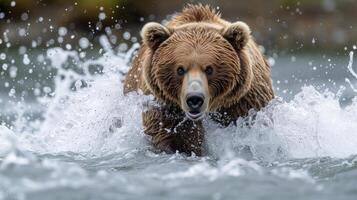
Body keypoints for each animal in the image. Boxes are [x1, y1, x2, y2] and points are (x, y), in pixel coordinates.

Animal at [124, 3, 274, 155]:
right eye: (180, 69)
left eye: (209, 69)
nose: (194, 99)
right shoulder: (164, 106)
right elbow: (171, 136)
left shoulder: (243, 101)